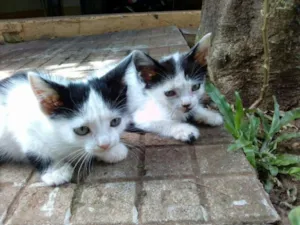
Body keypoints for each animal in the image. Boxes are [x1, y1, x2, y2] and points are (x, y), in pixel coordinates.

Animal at [0, 62, 131, 185]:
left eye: (115, 121)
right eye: (82, 130)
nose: (105, 145)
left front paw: (112, 151)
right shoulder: (25, 128)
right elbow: (37, 150)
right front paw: (56, 171)